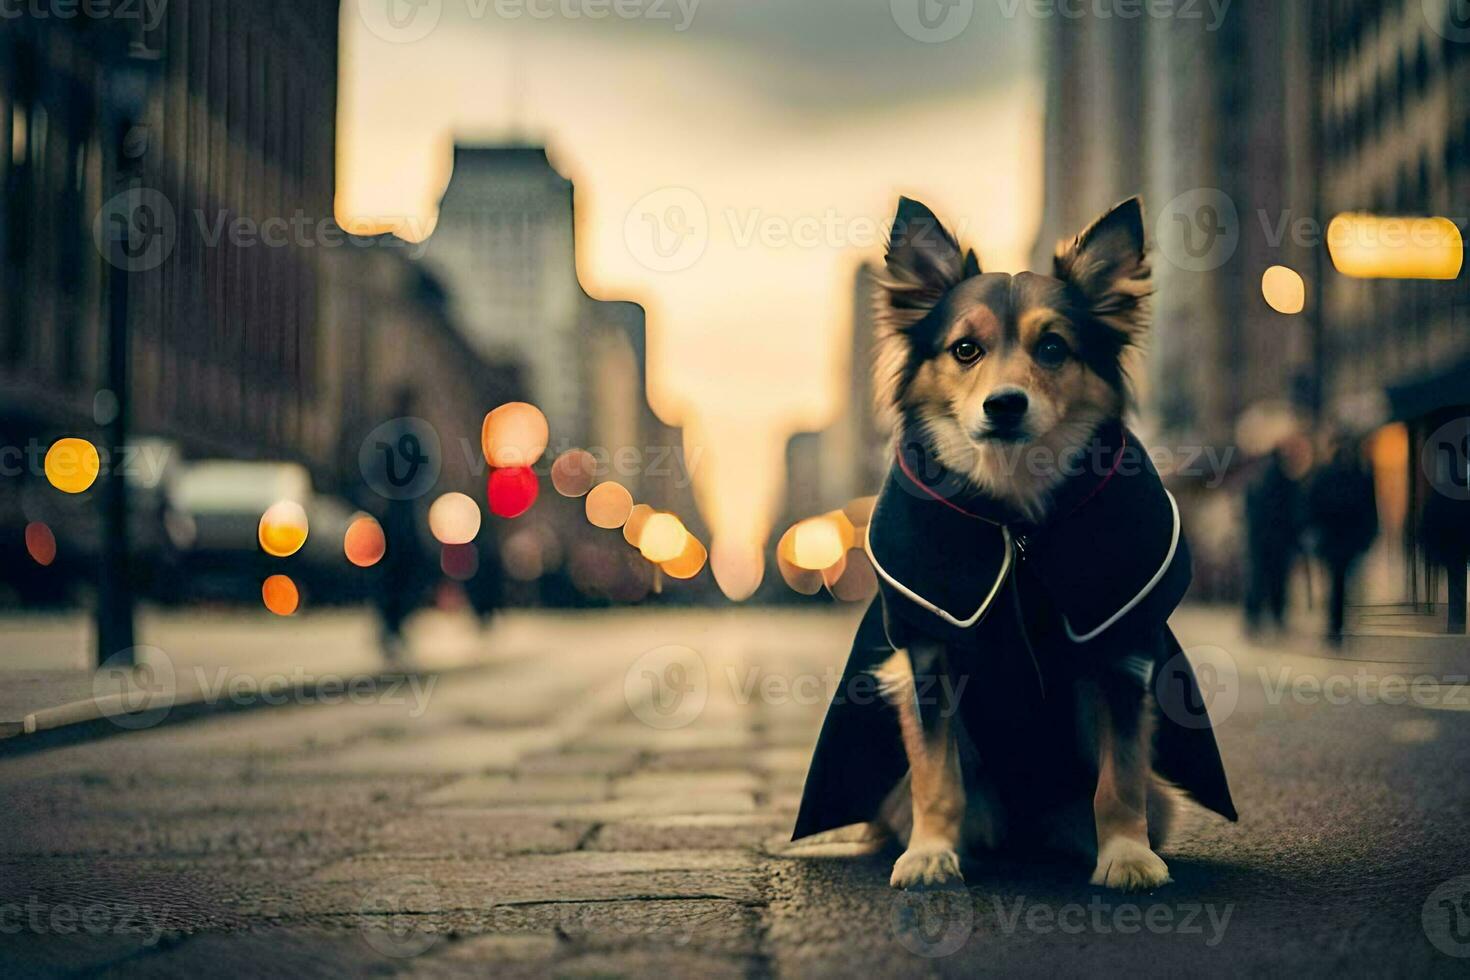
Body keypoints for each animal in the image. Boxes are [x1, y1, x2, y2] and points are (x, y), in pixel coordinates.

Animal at [793, 195, 1240, 893]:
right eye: (965, 349)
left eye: (1053, 348)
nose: (1004, 405)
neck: (1014, 512)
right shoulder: (929, 654)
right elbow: (936, 773)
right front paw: (929, 854)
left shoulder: (1118, 652)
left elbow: (1119, 776)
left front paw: (1126, 855)